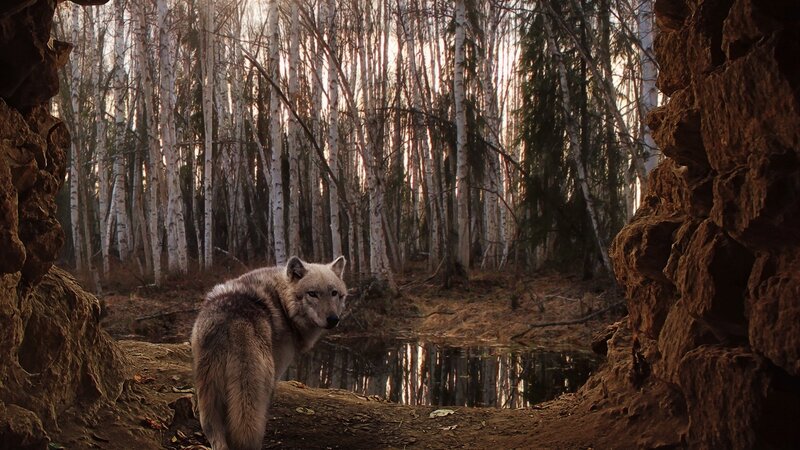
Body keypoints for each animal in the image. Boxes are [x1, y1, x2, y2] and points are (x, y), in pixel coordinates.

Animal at [191, 256, 347, 450]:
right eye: (312, 293)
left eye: (334, 293)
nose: (333, 319)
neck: (282, 303)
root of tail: (231, 320)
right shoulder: (276, 373)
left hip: (208, 398)